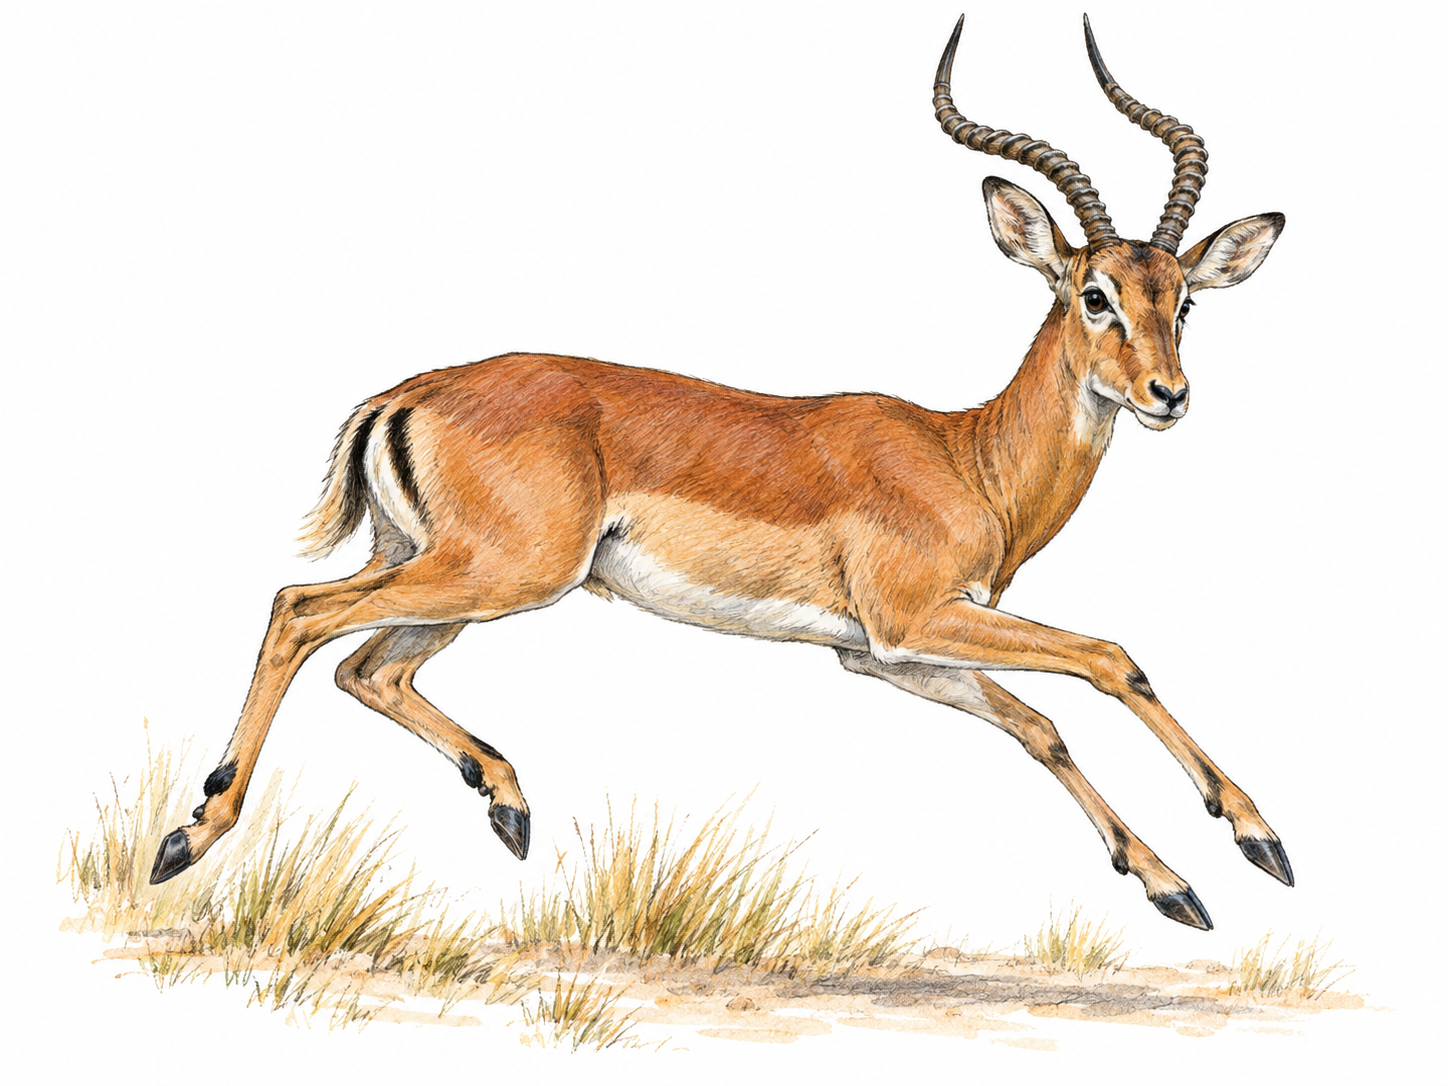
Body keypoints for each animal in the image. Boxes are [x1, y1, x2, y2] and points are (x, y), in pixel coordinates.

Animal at [152, 16, 1289, 929]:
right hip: (506, 574)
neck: (966, 456)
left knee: (366, 665)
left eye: (1182, 299)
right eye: (1093, 294)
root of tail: (409, 393)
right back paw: (188, 837)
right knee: (300, 611)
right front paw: (1257, 840)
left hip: (457, 577)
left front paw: (1177, 885)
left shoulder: (883, 654)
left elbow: (1039, 726)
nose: (1167, 394)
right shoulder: (914, 619)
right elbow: (1109, 658)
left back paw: (508, 806)